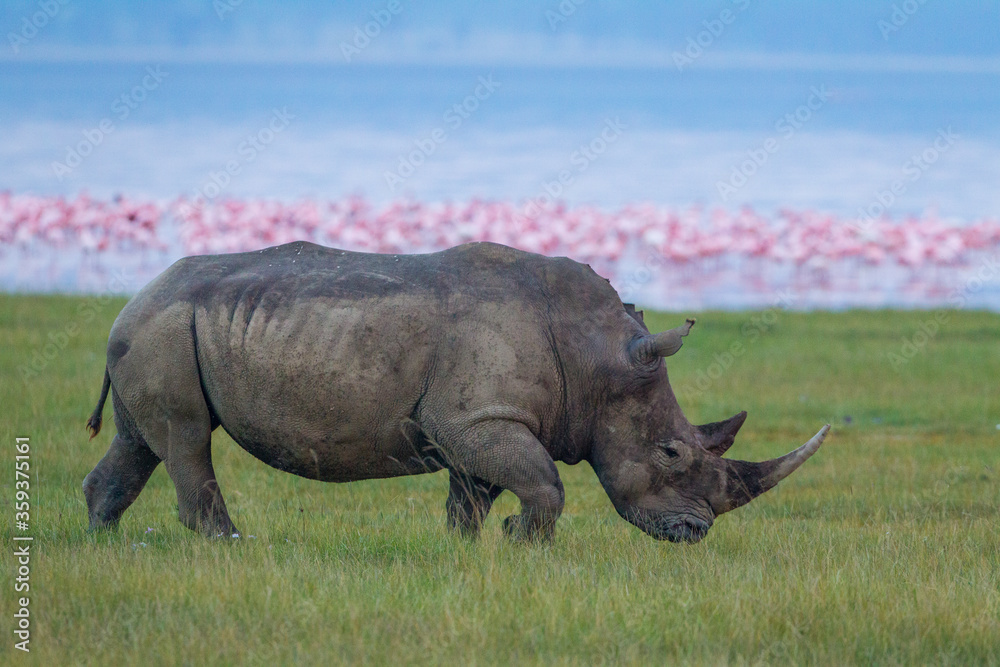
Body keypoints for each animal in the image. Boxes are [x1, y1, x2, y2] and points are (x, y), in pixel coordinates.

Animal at [83, 241, 829, 543]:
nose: (696, 533)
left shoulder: (479, 419)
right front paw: (520, 542)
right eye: (672, 453)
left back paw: (104, 541)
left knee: (140, 440)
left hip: (157, 328)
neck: (597, 359)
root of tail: (133, 297)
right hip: (163, 327)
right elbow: (543, 483)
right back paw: (229, 545)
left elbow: (473, 493)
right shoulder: (477, 417)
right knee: (185, 440)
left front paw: (466, 550)